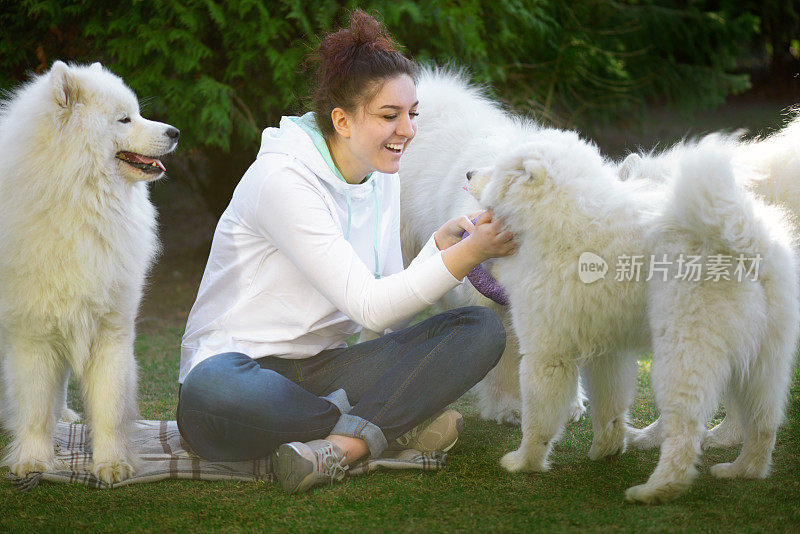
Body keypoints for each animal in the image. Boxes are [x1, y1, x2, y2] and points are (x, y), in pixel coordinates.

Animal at [0, 60, 178, 484]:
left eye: (138, 113)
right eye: (125, 119)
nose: (175, 132)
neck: (81, 203)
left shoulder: (109, 328)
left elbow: (110, 407)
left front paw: (111, 464)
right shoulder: (31, 332)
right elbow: (33, 407)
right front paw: (32, 460)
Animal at [400, 70, 800, 502]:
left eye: (497, 171)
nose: (469, 175)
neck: (569, 218)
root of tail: (745, 241)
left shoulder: (546, 347)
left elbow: (540, 413)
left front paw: (525, 461)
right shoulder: (606, 347)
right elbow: (609, 404)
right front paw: (604, 449)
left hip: (686, 352)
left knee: (687, 430)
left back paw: (657, 487)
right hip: (763, 361)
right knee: (761, 421)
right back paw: (740, 469)